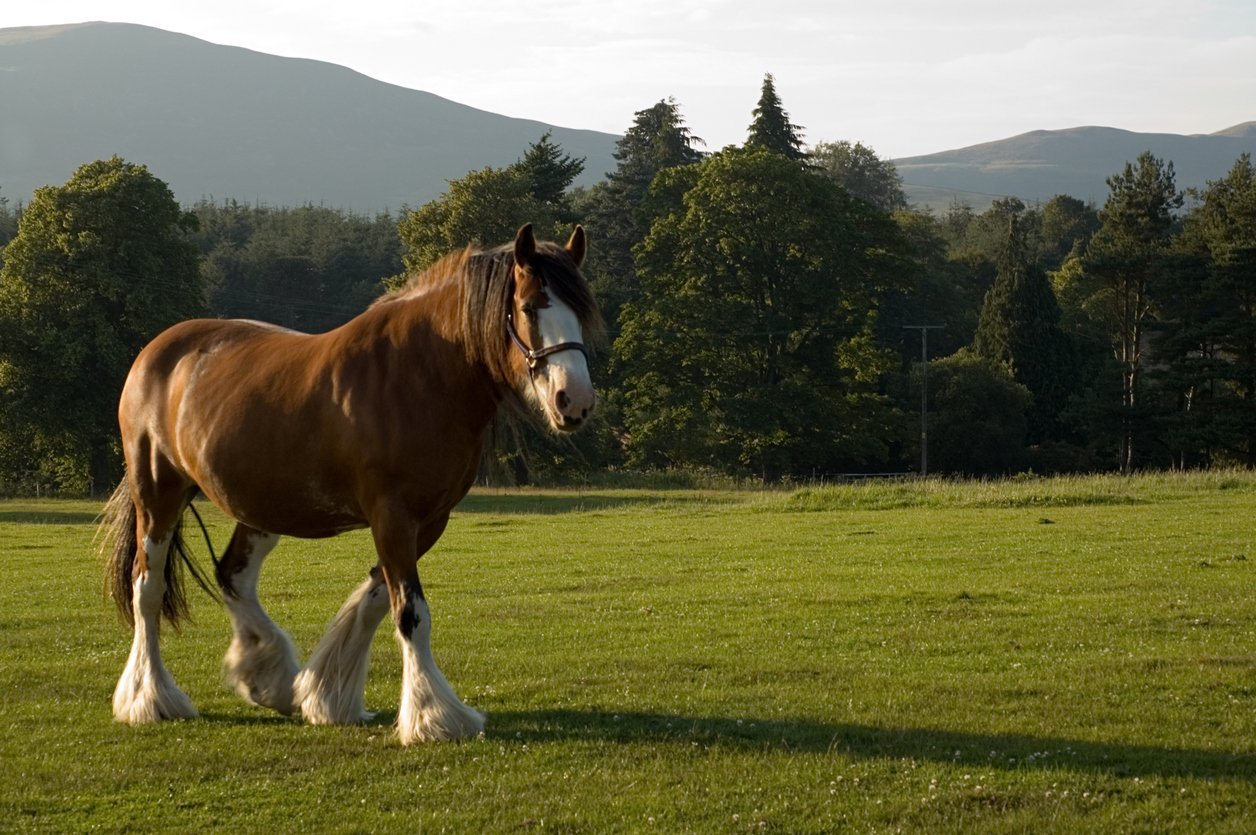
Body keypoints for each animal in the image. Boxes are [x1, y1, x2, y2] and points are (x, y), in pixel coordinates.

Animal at [97, 223, 597, 743]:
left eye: (582, 311)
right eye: (529, 307)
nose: (574, 400)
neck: (419, 375)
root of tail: (155, 351)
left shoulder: (427, 521)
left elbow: (378, 600)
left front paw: (328, 693)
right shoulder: (392, 517)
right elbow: (410, 613)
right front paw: (434, 716)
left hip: (262, 507)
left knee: (233, 574)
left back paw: (269, 677)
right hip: (158, 497)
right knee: (147, 589)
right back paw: (150, 698)